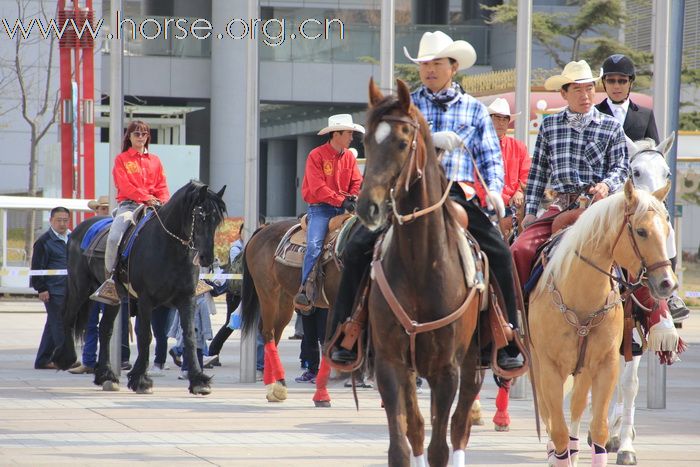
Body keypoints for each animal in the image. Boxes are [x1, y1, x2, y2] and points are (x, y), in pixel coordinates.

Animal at [54, 181, 227, 396]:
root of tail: (77, 231)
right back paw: (66, 358)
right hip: (80, 288)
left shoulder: (186, 299)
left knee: (105, 329)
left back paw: (106, 376)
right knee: (67, 317)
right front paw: (141, 380)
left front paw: (198, 380)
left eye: (217, 220)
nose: (207, 258)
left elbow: (189, 336)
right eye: (201, 216)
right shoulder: (146, 300)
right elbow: (145, 336)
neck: (169, 246)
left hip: (112, 297)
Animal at [358, 78, 484, 466]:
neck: (420, 265)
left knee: (460, 427)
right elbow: (401, 444)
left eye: (402, 143)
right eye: (366, 142)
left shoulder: (447, 370)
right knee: (416, 427)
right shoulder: (390, 363)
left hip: (474, 363)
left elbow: (440, 447)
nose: (366, 207)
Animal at [532, 180, 680, 467]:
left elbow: (599, 425)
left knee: (578, 406)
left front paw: (618, 444)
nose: (668, 283)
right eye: (641, 231)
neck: (580, 294)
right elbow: (557, 429)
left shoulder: (605, 363)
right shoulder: (549, 367)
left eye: (668, 229)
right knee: (551, 415)